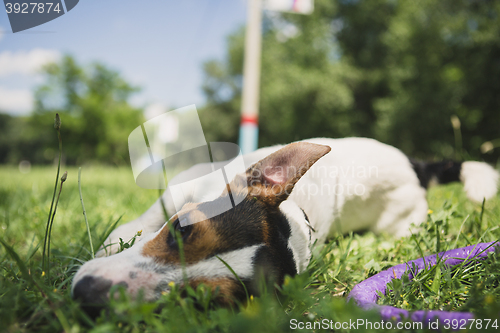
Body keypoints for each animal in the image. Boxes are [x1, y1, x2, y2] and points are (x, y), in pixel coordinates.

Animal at [72, 137, 498, 314]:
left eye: (203, 301)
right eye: (181, 228)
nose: (86, 294)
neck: (297, 219)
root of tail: (416, 166)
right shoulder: (177, 193)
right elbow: (139, 223)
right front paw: (111, 241)